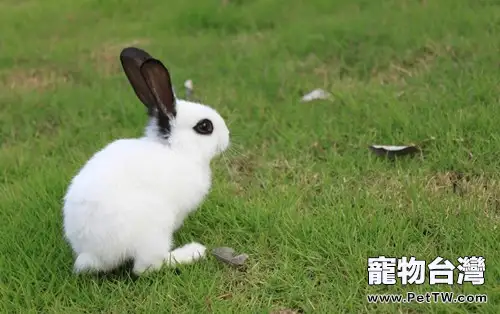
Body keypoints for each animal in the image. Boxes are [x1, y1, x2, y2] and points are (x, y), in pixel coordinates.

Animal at [62, 46, 230, 274]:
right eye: (205, 126)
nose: (227, 137)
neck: (178, 151)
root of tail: (92, 254)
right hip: (154, 229)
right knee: (146, 267)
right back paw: (192, 252)